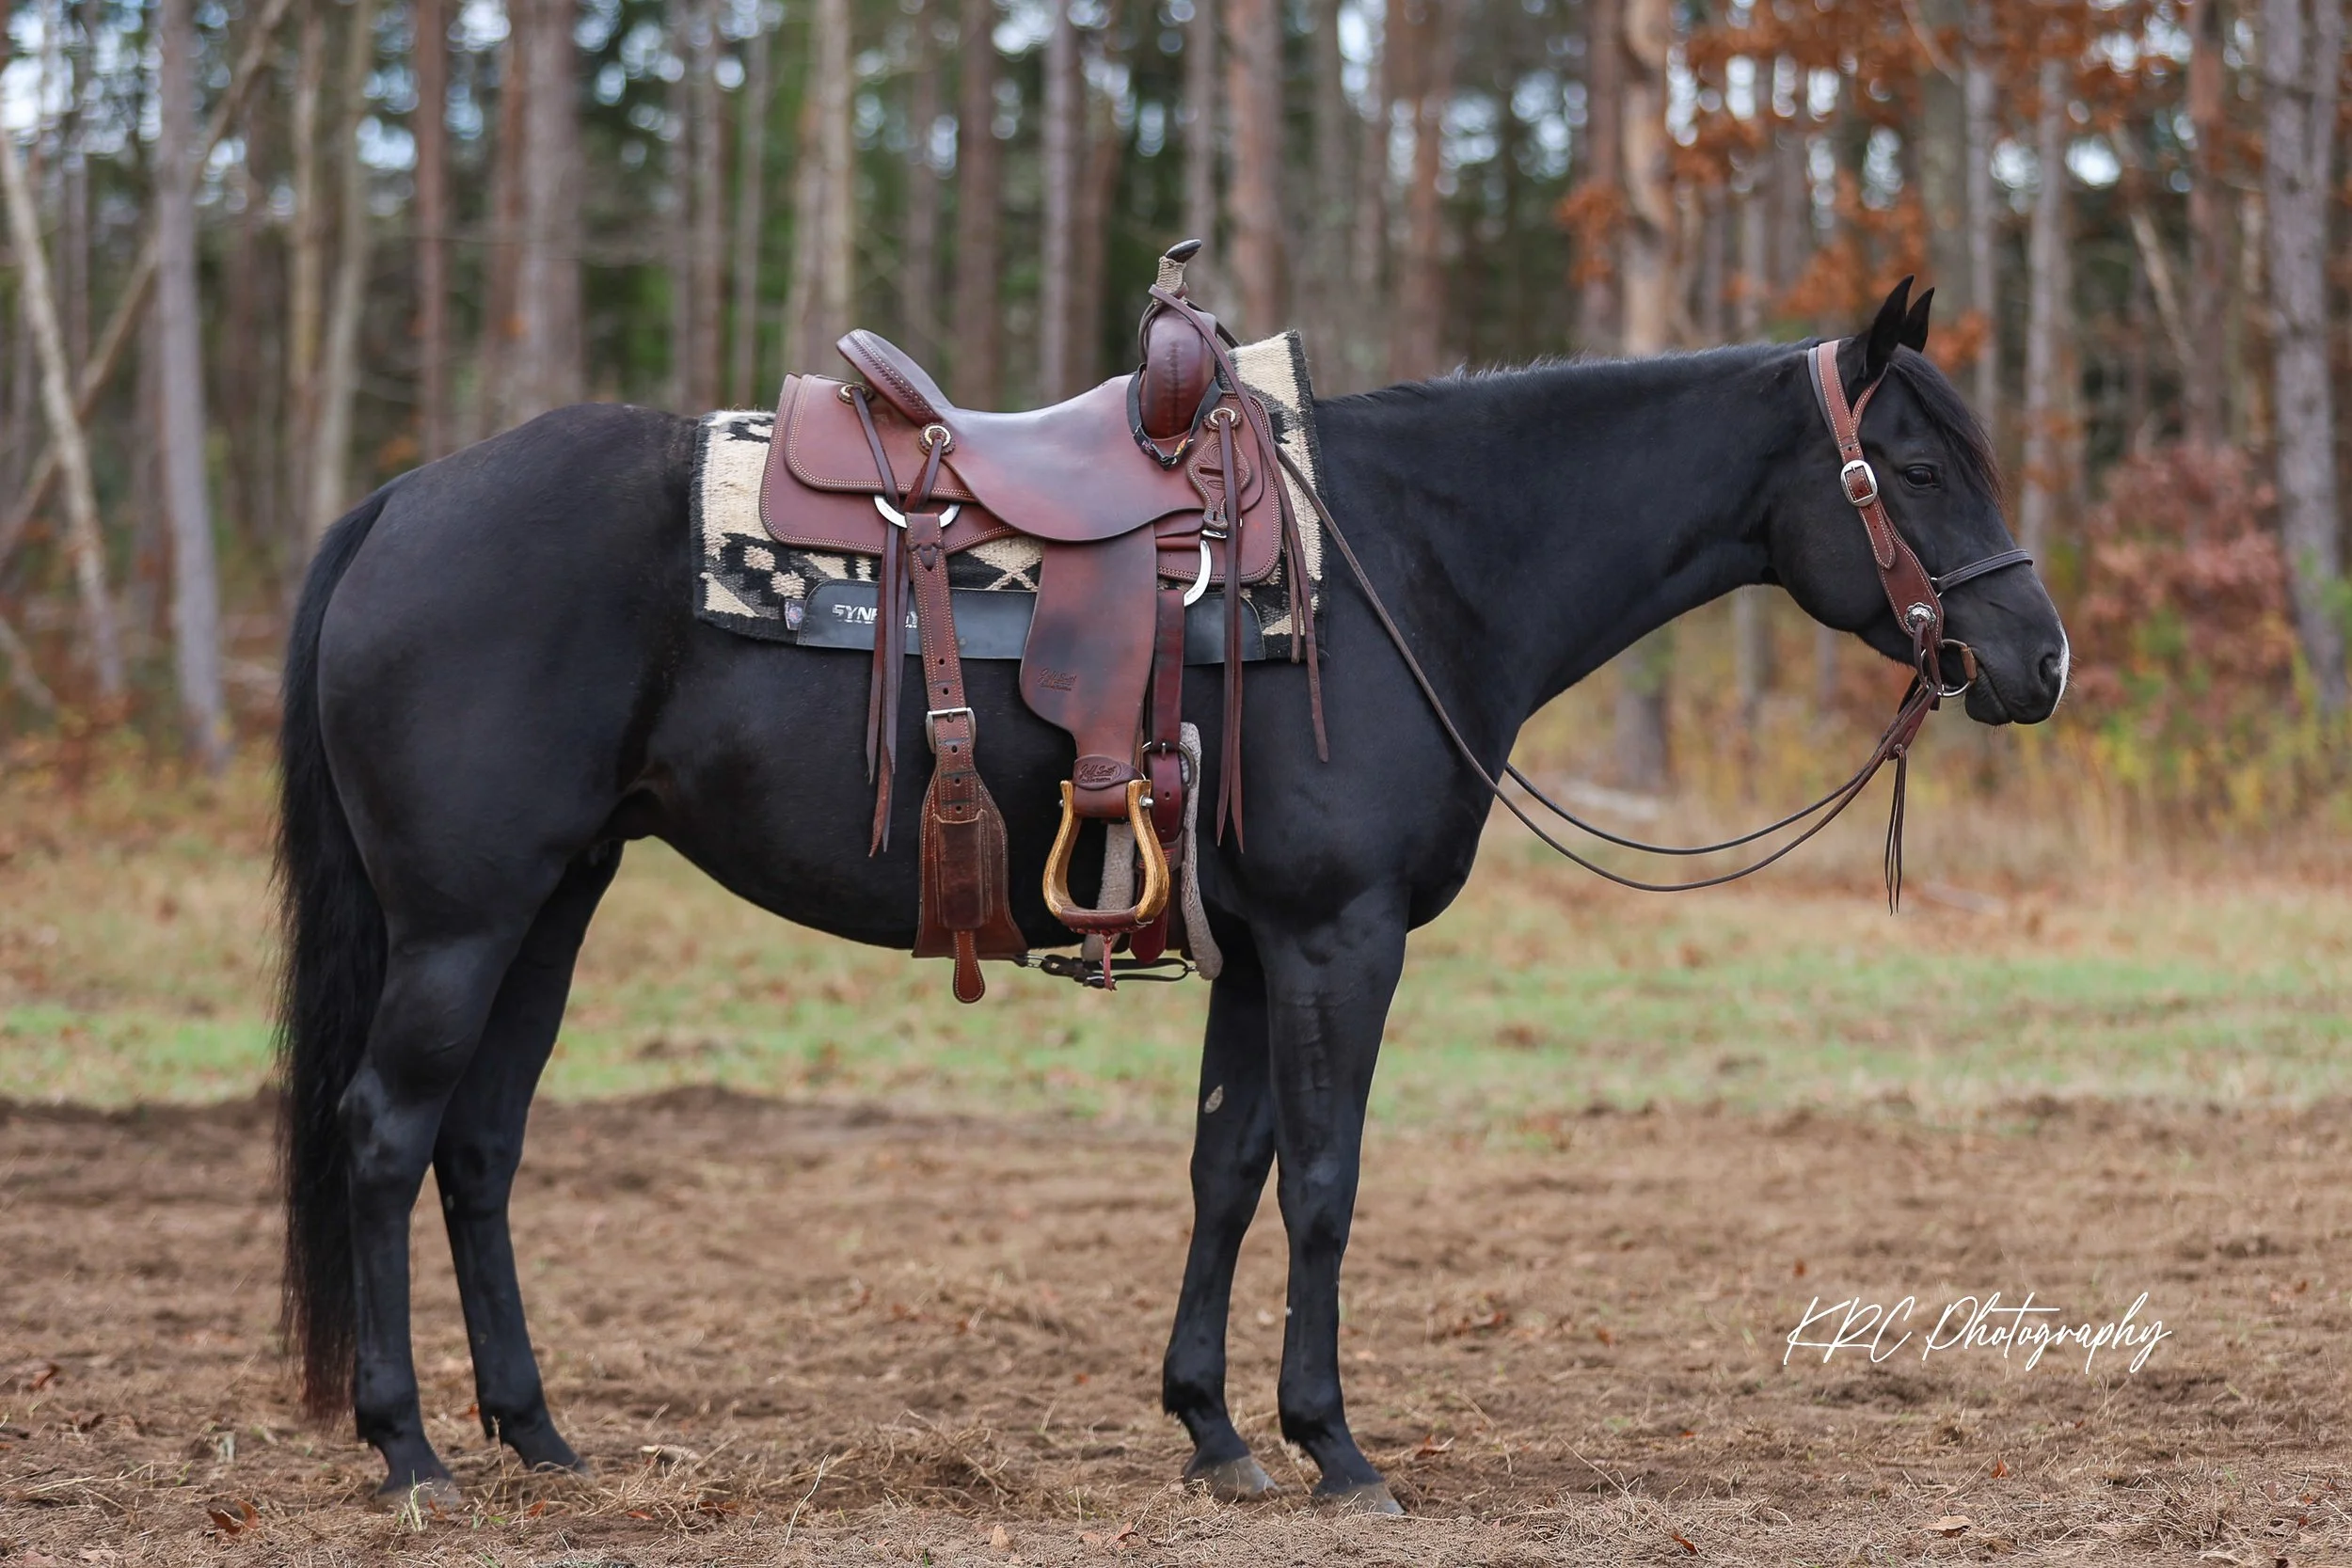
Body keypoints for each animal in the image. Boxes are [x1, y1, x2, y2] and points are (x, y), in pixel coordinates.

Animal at [275, 281, 2068, 1512]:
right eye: (1914, 462)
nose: (2038, 661)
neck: (1412, 561)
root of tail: (401, 501)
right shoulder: (1341, 937)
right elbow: (1327, 1179)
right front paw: (1337, 1445)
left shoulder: (1260, 953)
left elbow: (1227, 1169)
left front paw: (1214, 1428)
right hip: (463, 918)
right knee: (384, 1131)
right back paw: (412, 1449)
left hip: (556, 900)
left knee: (480, 1146)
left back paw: (539, 1434)